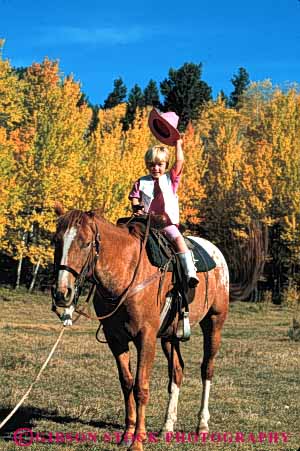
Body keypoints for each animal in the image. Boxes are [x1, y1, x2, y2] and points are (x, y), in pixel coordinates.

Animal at [52, 207, 230, 451]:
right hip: (169, 336)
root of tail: (216, 254)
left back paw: (202, 425)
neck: (126, 273)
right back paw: (167, 426)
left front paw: (138, 440)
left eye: (86, 243)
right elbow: (127, 383)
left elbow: (141, 387)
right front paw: (127, 434)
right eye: (56, 241)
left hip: (214, 323)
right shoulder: (116, 339)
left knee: (207, 369)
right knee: (177, 371)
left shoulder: (145, 338)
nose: (62, 293)